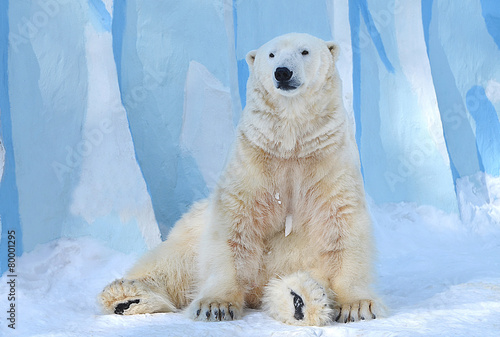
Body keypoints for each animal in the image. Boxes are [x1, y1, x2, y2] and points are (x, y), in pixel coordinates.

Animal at [99, 32, 384, 324]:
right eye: (271, 54)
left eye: (304, 51)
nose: (282, 72)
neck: (292, 144)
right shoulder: (253, 162)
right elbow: (235, 223)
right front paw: (216, 306)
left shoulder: (329, 162)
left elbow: (342, 225)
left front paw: (357, 306)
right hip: (193, 231)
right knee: (173, 263)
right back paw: (126, 296)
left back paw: (300, 300)